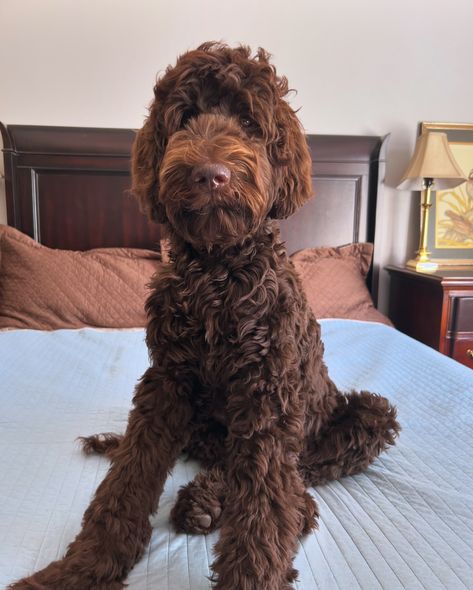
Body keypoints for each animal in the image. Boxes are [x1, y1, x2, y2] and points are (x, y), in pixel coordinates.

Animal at [9, 42, 398, 590]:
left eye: (249, 122)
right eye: (186, 117)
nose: (211, 174)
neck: (218, 275)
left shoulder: (266, 395)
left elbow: (262, 508)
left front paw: (255, 574)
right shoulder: (167, 382)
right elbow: (128, 476)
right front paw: (80, 569)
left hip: (366, 415)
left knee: (294, 475)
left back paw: (263, 507)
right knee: (223, 460)